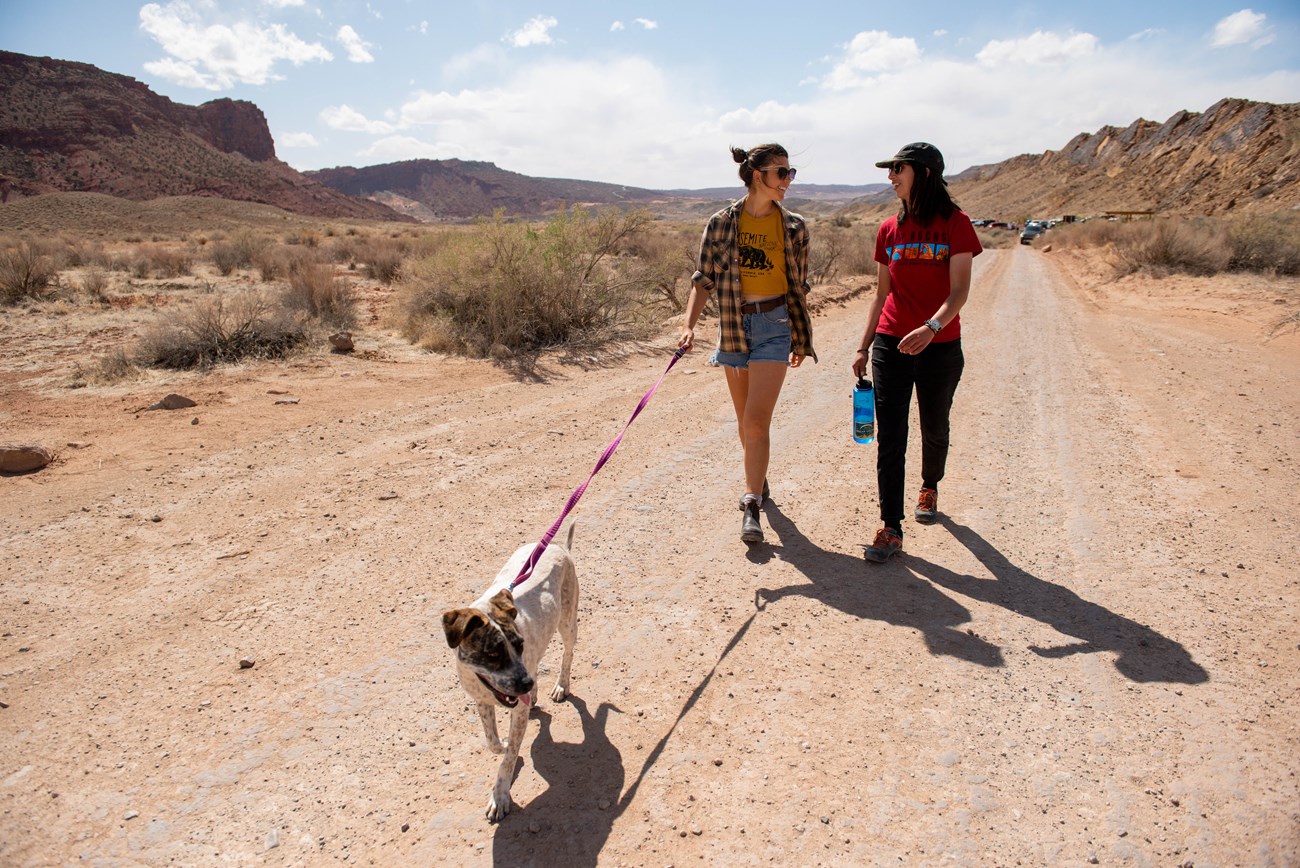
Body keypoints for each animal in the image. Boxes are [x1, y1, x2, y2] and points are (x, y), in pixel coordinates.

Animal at [441, 522, 574, 821]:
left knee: (568, 654)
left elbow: (509, 758)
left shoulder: (518, 708)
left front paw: (500, 795)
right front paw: (499, 744)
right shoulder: (482, 699)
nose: (525, 684)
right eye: (493, 654)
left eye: (519, 645)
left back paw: (560, 685)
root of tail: (559, 547)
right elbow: (492, 741)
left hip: (567, 622)